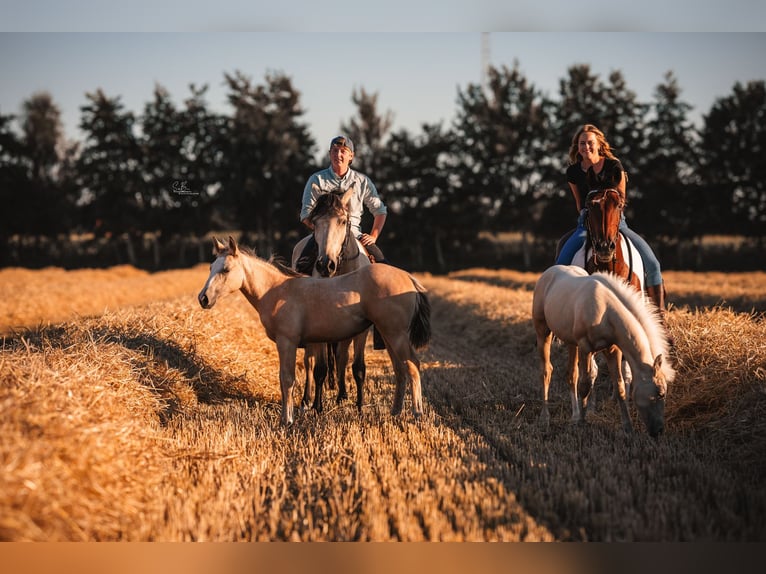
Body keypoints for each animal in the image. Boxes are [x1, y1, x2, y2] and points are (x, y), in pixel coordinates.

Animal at [198, 236, 431, 426]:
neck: (277, 290)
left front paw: (287, 420)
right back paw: (395, 412)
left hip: (396, 335)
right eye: (210, 267)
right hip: (388, 335)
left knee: (412, 365)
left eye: (226, 269)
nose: (203, 298)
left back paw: (417, 414)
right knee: (400, 370)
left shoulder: (287, 342)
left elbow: (287, 379)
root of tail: (408, 278)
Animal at [291, 186, 371, 413]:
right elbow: (319, 368)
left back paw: (342, 394)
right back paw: (306, 400)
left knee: (342, 357)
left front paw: (360, 406)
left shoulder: (361, 330)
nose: (325, 265)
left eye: (343, 221)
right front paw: (318, 406)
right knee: (309, 361)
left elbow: (357, 367)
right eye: (315, 222)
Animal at [532, 265, 674, 437]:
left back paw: (574, 415)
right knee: (546, 371)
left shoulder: (612, 350)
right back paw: (545, 418)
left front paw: (628, 427)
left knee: (572, 374)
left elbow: (619, 386)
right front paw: (582, 423)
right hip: (543, 332)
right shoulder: (585, 348)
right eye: (660, 393)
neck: (606, 310)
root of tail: (548, 273)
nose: (659, 431)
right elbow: (585, 385)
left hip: (572, 343)